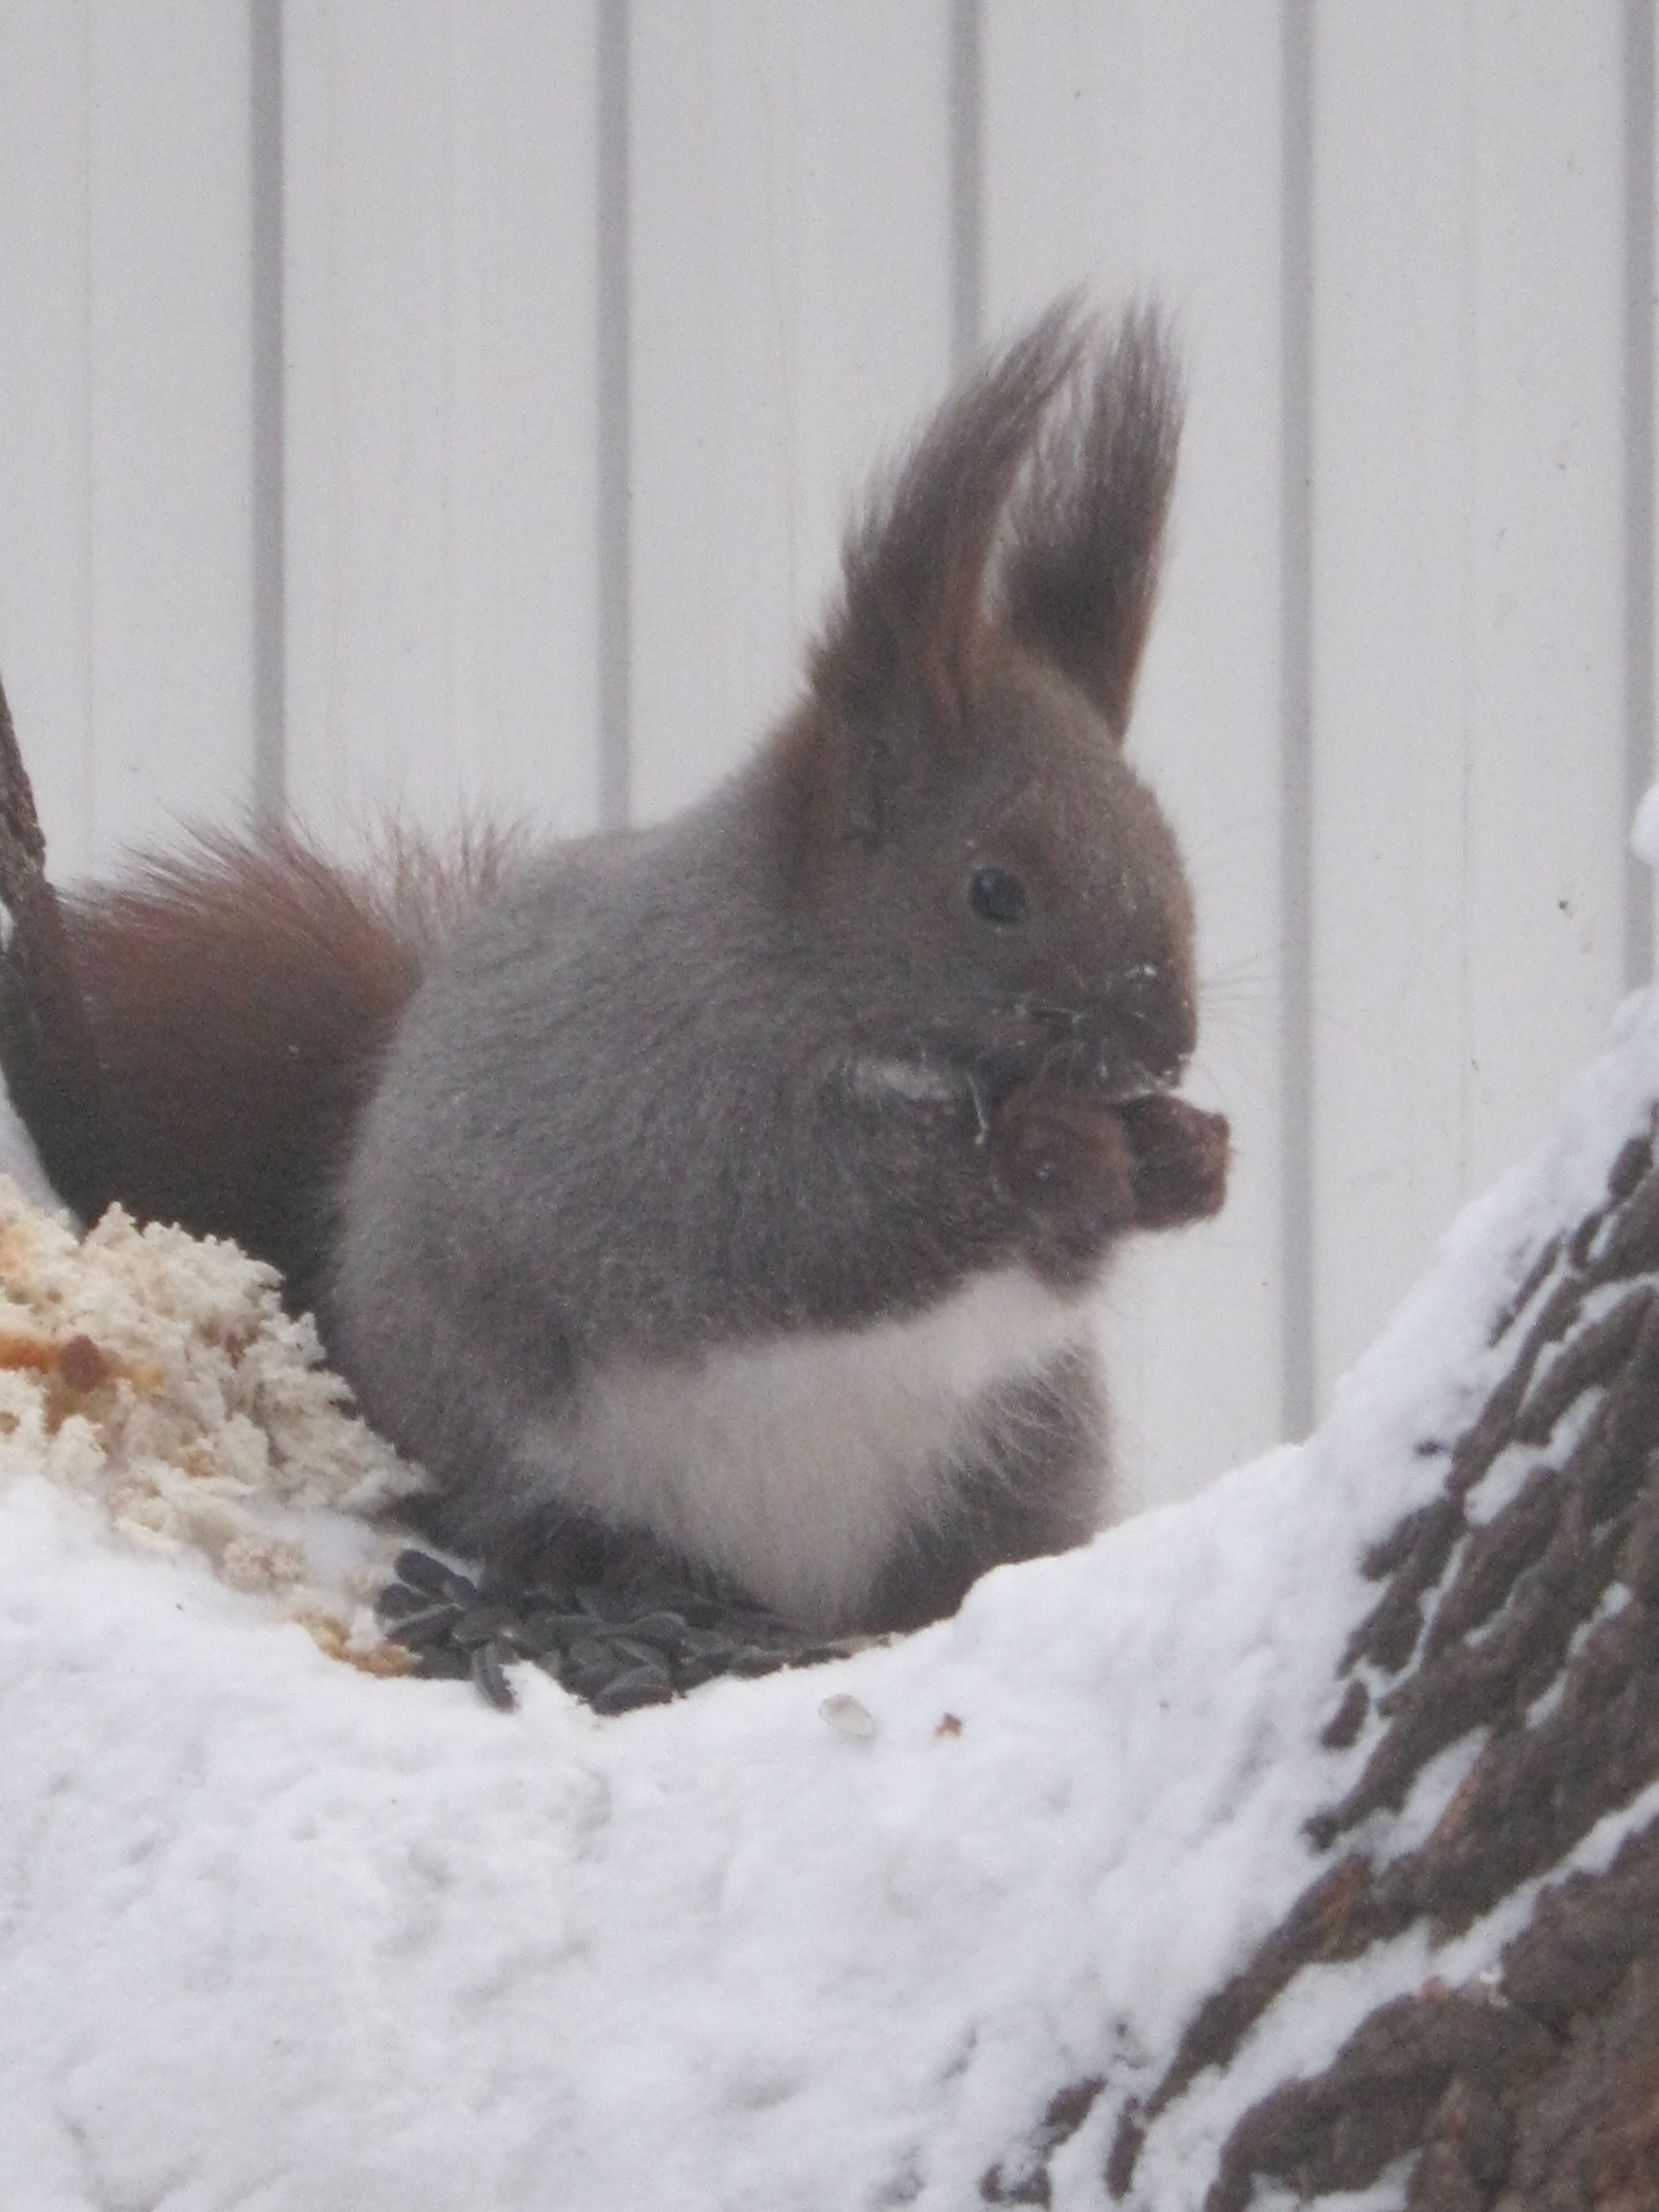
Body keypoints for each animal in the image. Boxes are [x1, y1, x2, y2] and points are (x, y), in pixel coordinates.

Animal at [1, 299, 1228, 1636]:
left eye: (1167, 840)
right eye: (994, 891)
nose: (1167, 1044)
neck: (808, 977)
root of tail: (791, 1594)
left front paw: (1186, 1155)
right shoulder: (679, 1117)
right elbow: (831, 1223)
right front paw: (1060, 1149)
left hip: (1016, 1453)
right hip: (499, 1426)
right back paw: (606, 1568)